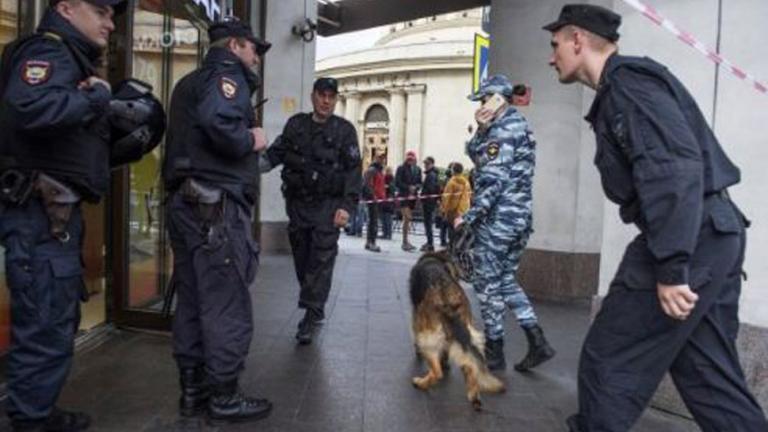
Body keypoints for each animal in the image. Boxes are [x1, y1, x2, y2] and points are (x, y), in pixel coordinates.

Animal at [408, 250, 504, 408]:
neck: (436, 259)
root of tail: (447, 298)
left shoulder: (416, 316)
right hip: (470, 335)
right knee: (470, 365)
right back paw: (474, 396)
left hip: (426, 337)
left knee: (437, 372)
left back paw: (421, 383)